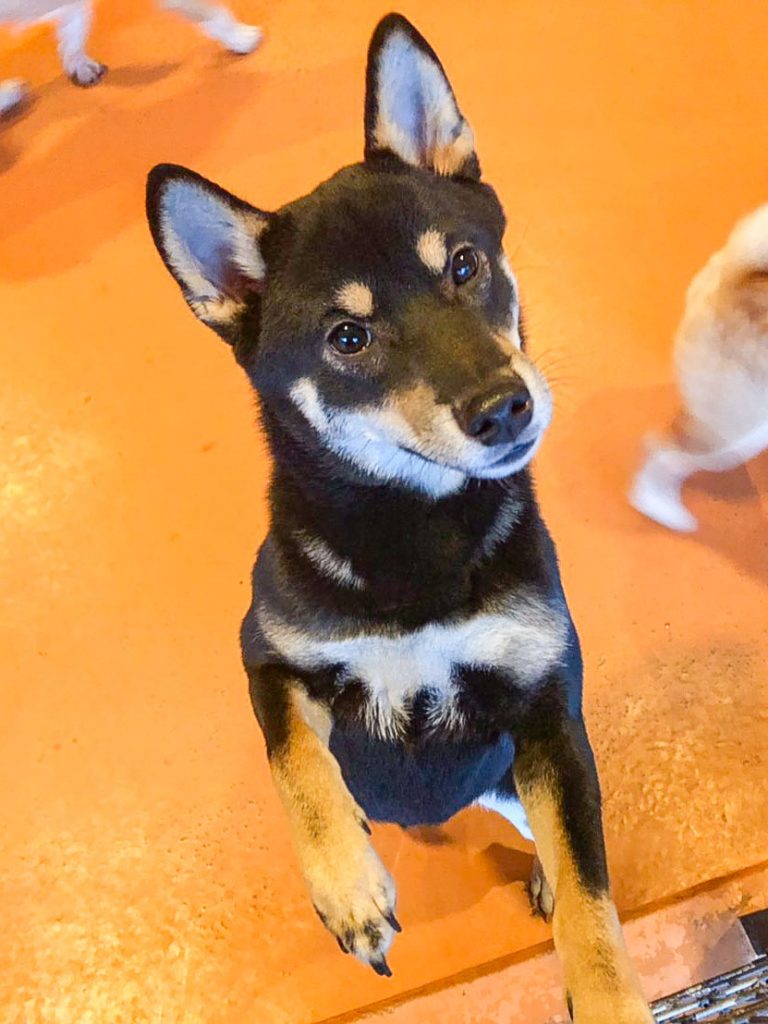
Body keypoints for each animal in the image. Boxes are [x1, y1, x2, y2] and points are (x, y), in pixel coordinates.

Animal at [146, 14, 653, 1021]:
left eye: (464, 264)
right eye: (348, 337)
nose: (503, 407)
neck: (414, 535)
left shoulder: (545, 709)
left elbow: (592, 894)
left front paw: (608, 990)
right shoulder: (269, 658)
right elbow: (298, 764)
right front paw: (349, 888)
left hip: (511, 770)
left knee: (548, 829)